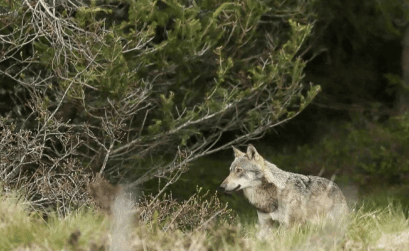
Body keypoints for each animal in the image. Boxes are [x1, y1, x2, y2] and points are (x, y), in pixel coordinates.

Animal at [220, 144, 348, 228]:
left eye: (239, 170)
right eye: (230, 171)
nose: (221, 187)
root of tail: (335, 185)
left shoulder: (291, 226)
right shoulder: (265, 224)